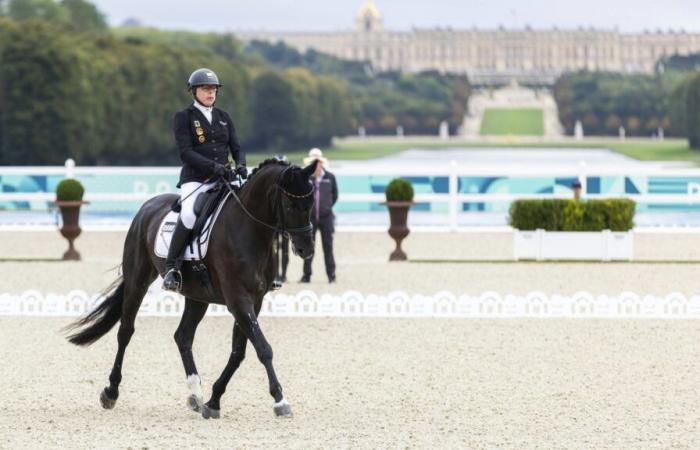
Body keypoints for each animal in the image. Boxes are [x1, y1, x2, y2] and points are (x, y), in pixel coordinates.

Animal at [65, 157, 318, 418]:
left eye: (311, 202)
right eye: (290, 204)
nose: (306, 249)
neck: (248, 230)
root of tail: (147, 207)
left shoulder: (254, 301)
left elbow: (239, 352)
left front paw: (214, 401)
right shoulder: (238, 300)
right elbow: (263, 348)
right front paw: (280, 401)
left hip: (197, 296)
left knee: (183, 336)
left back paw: (196, 395)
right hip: (137, 281)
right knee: (125, 332)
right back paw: (111, 392)